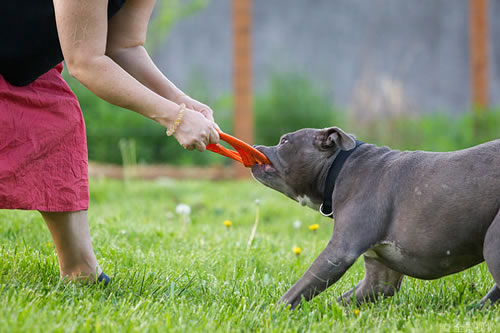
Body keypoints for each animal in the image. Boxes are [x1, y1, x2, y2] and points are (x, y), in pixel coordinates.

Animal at [254, 126, 500, 308]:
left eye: (284, 141)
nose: (256, 146)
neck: (339, 168)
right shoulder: (379, 277)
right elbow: (340, 302)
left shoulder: (338, 252)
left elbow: (296, 292)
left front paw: (272, 314)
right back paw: (476, 309)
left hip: (492, 242)